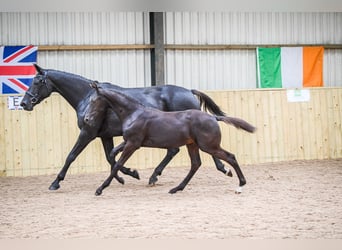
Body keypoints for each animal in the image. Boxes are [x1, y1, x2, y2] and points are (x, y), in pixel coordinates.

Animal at [19, 64, 232, 189]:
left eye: (37, 82)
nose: (24, 103)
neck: (86, 98)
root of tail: (189, 91)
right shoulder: (105, 135)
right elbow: (110, 156)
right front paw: (125, 176)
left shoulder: (87, 132)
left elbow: (71, 156)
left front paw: (56, 182)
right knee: (175, 151)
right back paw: (155, 176)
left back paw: (222, 169)